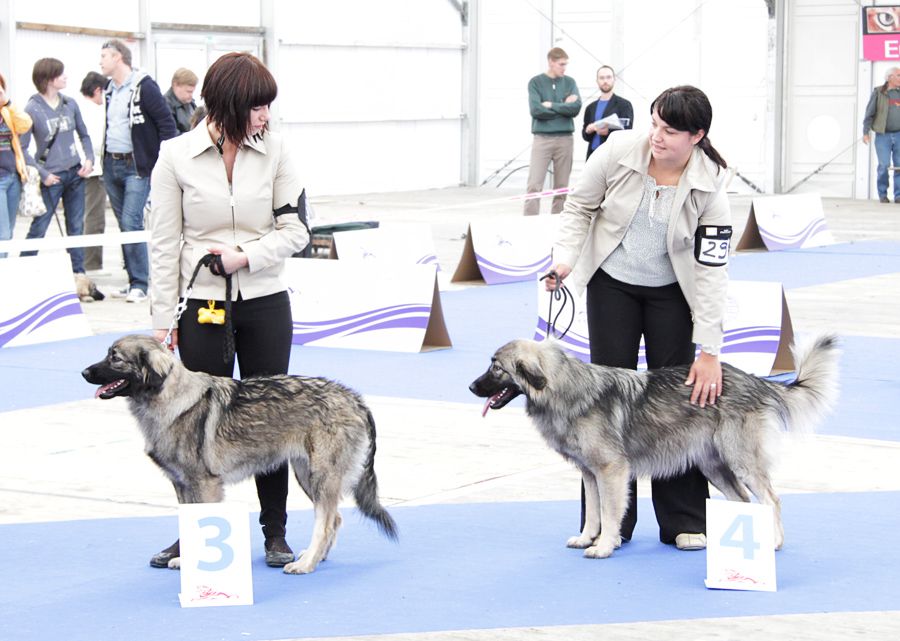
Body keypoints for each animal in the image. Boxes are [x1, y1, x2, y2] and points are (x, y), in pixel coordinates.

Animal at [83, 332, 398, 572]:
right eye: (108, 354)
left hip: (321, 476)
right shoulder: (182, 485)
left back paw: (305, 564)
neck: (170, 398)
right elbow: (188, 526)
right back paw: (316, 557)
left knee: (326, 523)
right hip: (306, 474)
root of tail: (355, 399)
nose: (84, 372)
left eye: (115, 358)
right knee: (335, 519)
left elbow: (202, 526)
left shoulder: (204, 484)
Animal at [468, 338, 840, 556]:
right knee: (744, 501)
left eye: (496, 367)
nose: (471, 387)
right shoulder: (589, 473)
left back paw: (773, 542)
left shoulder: (611, 471)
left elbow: (609, 512)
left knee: (771, 500)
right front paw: (588, 538)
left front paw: (604, 546)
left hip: (740, 460)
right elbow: (593, 512)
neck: (566, 389)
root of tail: (754, 380)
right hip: (715, 466)